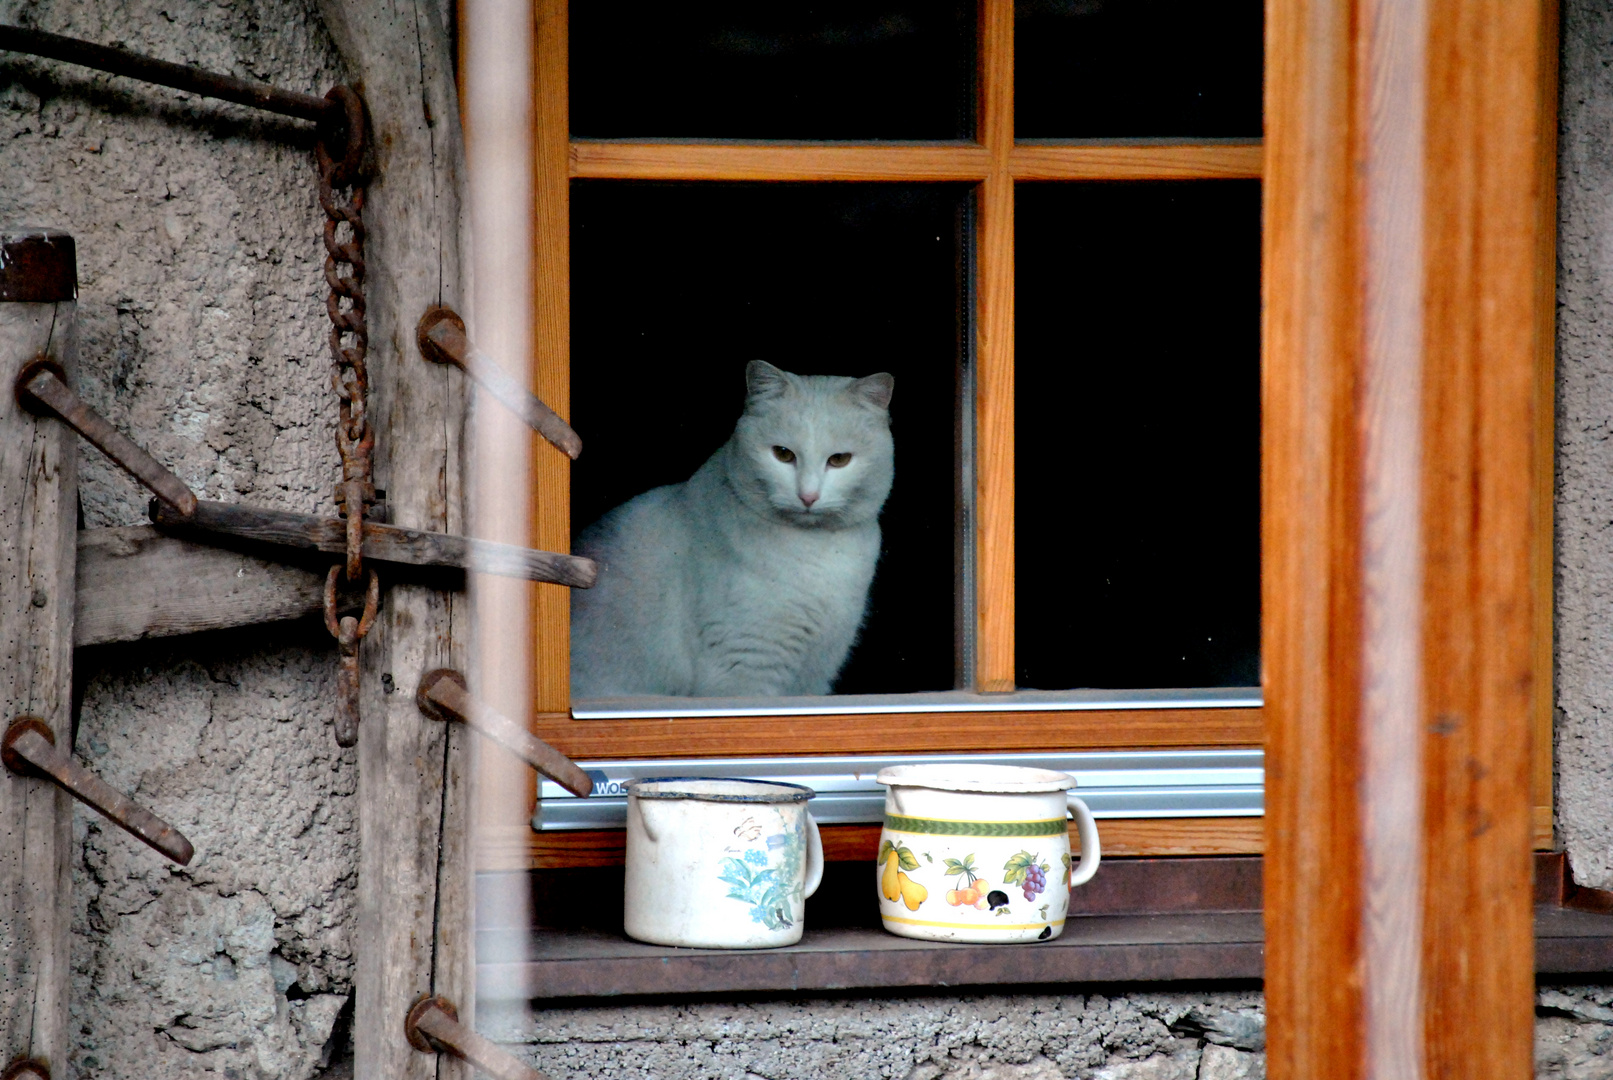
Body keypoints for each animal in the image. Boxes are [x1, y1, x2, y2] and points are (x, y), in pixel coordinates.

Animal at [571, 364, 896, 699]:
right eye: (783, 454)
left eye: (839, 460)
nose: (808, 496)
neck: (817, 550)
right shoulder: (746, 666)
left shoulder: (817, 674)